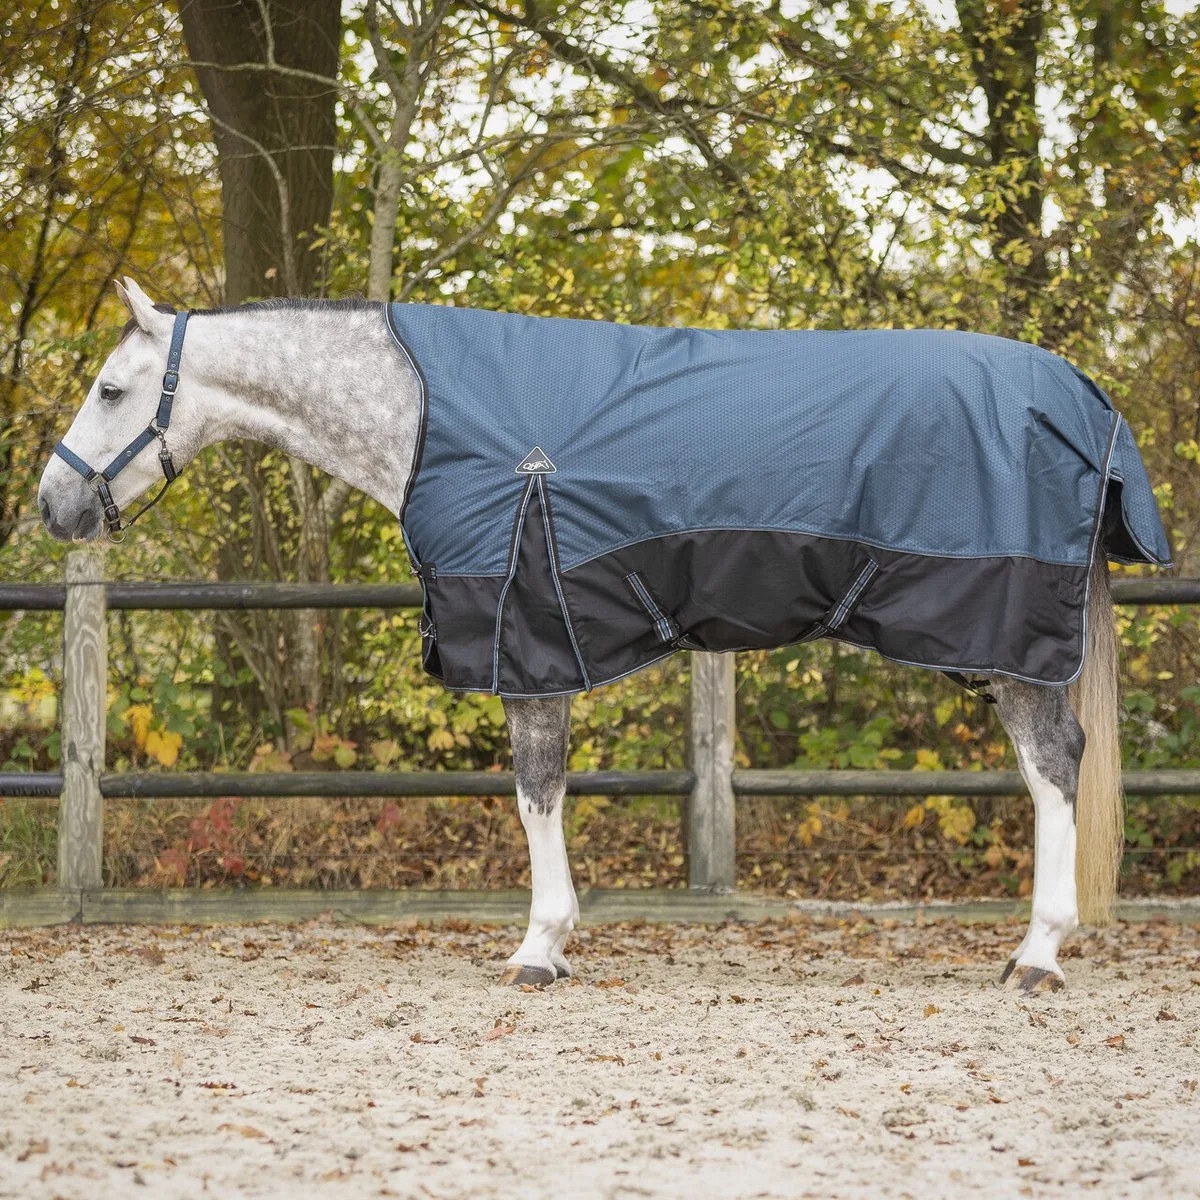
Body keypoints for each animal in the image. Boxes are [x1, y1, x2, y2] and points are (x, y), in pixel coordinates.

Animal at [38, 278, 1171, 993]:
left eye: (109, 389)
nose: (53, 505)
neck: (424, 414)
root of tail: (1086, 397)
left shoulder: (528, 640)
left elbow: (535, 794)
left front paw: (540, 948)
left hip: (1006, 634)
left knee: (1054, 766)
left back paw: (1038, 955)